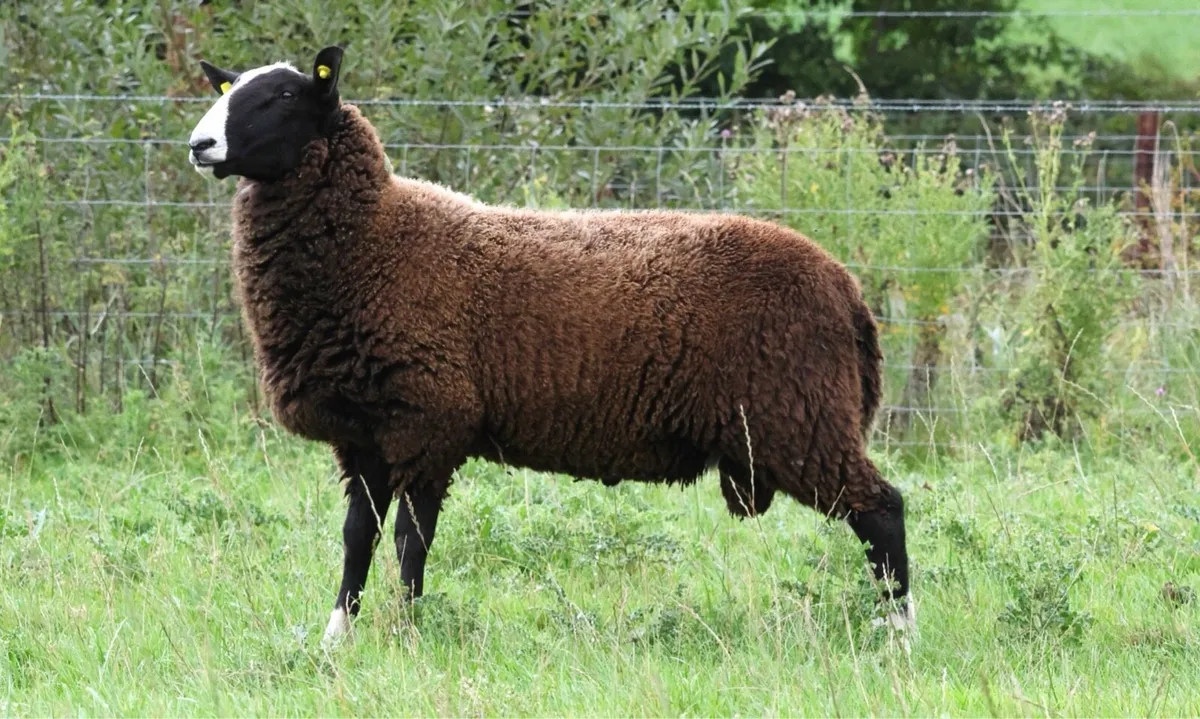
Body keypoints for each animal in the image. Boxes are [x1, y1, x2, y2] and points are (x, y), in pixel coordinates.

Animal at [187, 46, 912, 645]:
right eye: (229, 87)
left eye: (284, 95)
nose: (198, 144)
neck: (377, 239)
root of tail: (846, 288)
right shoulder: (365, 434)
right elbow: (356, 538)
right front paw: (337, 637)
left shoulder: (429, 423)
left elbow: (410, 543)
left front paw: (406, 634)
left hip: (797, 416)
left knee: (883, 510)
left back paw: (899, 635)